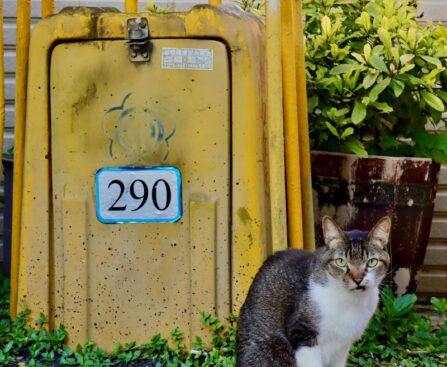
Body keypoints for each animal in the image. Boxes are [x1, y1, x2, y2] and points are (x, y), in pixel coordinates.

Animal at [238, 217, 392, 366]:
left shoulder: (343, 346)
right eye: (341, 262)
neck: (350, 300)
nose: (358, 279)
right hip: (276, 347)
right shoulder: (302, 333)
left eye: (371, 262)